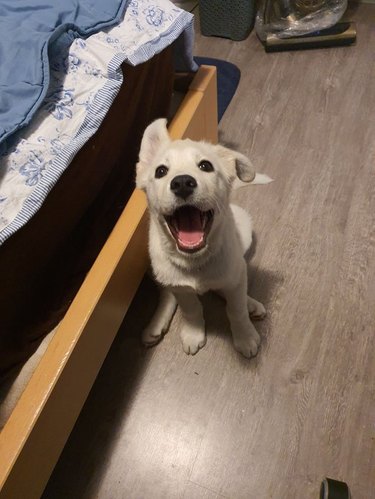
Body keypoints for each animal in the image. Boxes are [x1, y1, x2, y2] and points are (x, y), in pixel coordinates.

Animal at [137, 118, 268, 358]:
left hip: (244, 230)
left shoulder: (234, 274)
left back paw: (250, 303)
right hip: (155, 267)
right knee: (167, 291)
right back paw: (155, 325)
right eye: (161, 171)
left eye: (205, 166)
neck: (195, 262)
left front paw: (245, 336)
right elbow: (190, 309)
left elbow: (236, 309)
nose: (181, 183)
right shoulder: (181, 288)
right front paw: (193, 333)